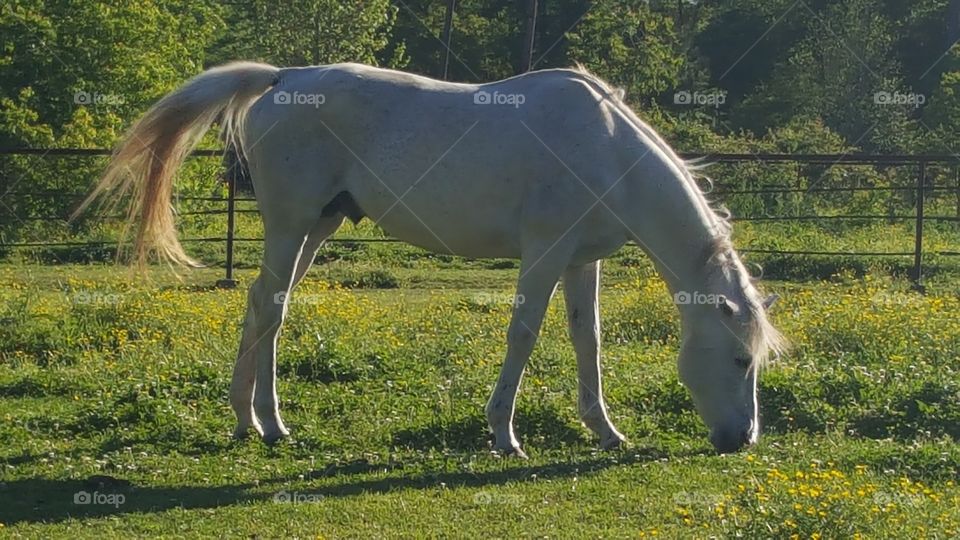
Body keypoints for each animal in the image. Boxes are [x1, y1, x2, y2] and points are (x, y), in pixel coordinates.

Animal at [77, 61, 786, 455]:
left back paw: (253, 421)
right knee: (269, 308)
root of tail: (285, 79)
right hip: (291, 225)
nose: (740, 441)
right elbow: (524, 334)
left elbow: (588, 340)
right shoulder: (545, 252)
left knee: (264, 307)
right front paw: (504, 436)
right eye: (740, 359)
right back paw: (265, 424)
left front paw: (605, 432)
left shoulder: (583, 261)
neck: (607, 151)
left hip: (318, 225)